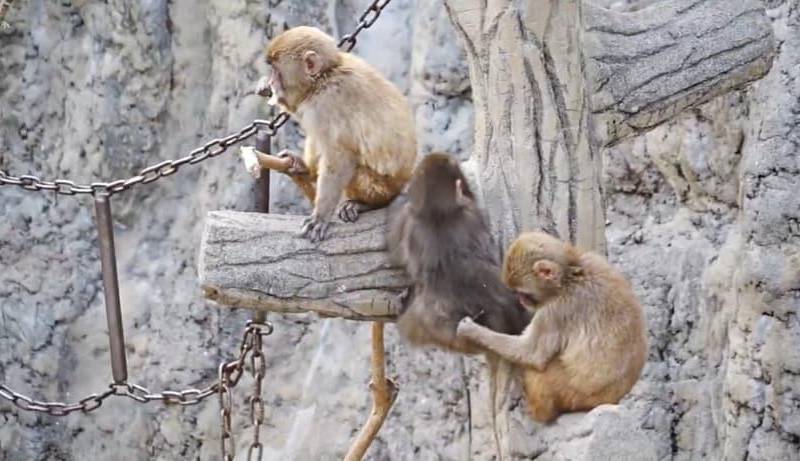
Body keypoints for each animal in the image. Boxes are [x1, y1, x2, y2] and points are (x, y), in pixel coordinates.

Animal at [256, 26, 417, 242]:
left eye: (276, 69)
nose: (273, 81)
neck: (326, 76)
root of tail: (405, 181)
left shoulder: (327, 102)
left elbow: (339, 156)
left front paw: (321, 215)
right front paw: (264, 87)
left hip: (381, 187)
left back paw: (365, 204)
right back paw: (303, 168)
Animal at [456, 231, 648, 423]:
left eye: (524, 293)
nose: (521, 300)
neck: (568, 277)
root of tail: (614, 397)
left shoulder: (554, 311)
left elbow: (532, 354)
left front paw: (471, 330)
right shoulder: (595, 260)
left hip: (573, 392)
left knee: (540, 372)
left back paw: (539, 412)